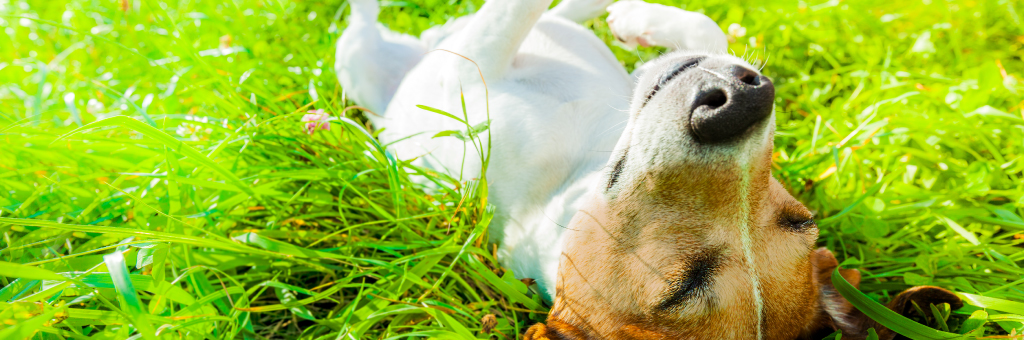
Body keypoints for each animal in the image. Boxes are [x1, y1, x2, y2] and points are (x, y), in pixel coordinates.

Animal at [333, 0, 958, 337]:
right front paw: (641, 22)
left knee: (363, 23)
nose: (739, 104)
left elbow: (507, 18)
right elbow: (706, 29)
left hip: (358, 62)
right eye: (799, 219)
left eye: (681, 288)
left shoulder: (467, 82)